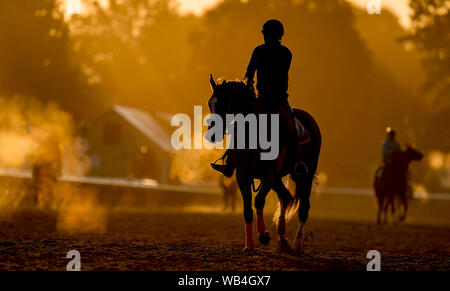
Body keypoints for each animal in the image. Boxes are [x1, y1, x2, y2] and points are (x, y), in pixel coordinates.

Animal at [206, 77, 322, 253]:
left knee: (303, 208)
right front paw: (249, 245)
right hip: (278, 179)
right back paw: (282, 241)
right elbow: (247, 210)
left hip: (305, 176)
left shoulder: (268, 176)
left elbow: (259, 201)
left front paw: (263, 235)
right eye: (210, 104)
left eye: (221, 104)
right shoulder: (243, 176)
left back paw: (297, 244)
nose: (211, 135)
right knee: (285, 197)